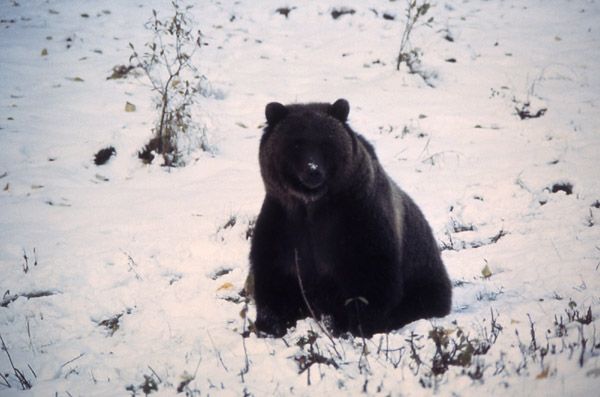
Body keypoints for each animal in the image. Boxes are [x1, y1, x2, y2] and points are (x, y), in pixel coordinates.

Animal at [247, 97, 450, 336]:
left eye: (325, 143)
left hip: (424, 279)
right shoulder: (282, 227)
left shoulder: (356, 221)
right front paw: (270, 324)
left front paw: (359, 325)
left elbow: (369, 277)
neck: (311, 206)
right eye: (296, 143)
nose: (313, 170)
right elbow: (274, 278)